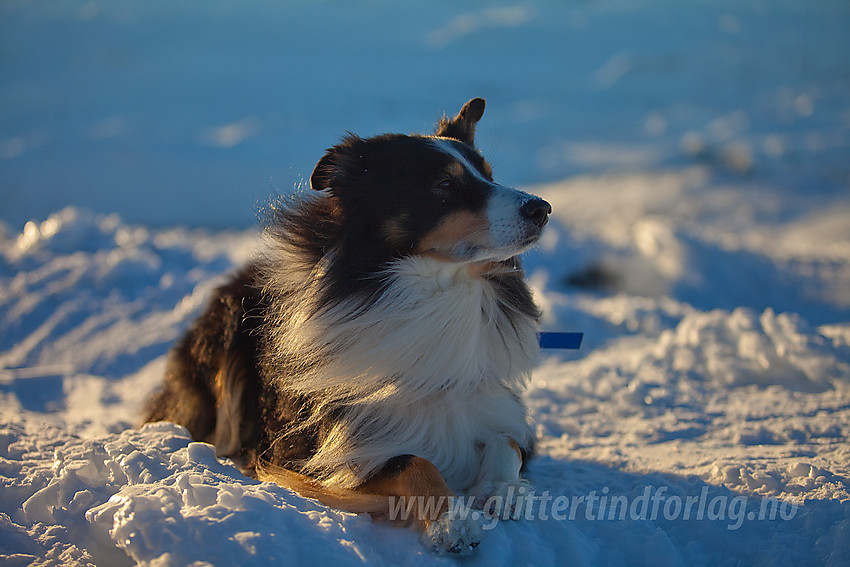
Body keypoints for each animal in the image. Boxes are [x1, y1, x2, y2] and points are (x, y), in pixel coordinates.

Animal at [145, 98, 548, 556]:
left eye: (490, 176)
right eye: (444, 184)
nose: (542, 208)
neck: (437, 291)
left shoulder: (486, 402)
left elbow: (507, 442)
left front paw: (504, 488)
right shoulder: (318, 452)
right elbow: (413, 462)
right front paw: (452, 521)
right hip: (227, 331)